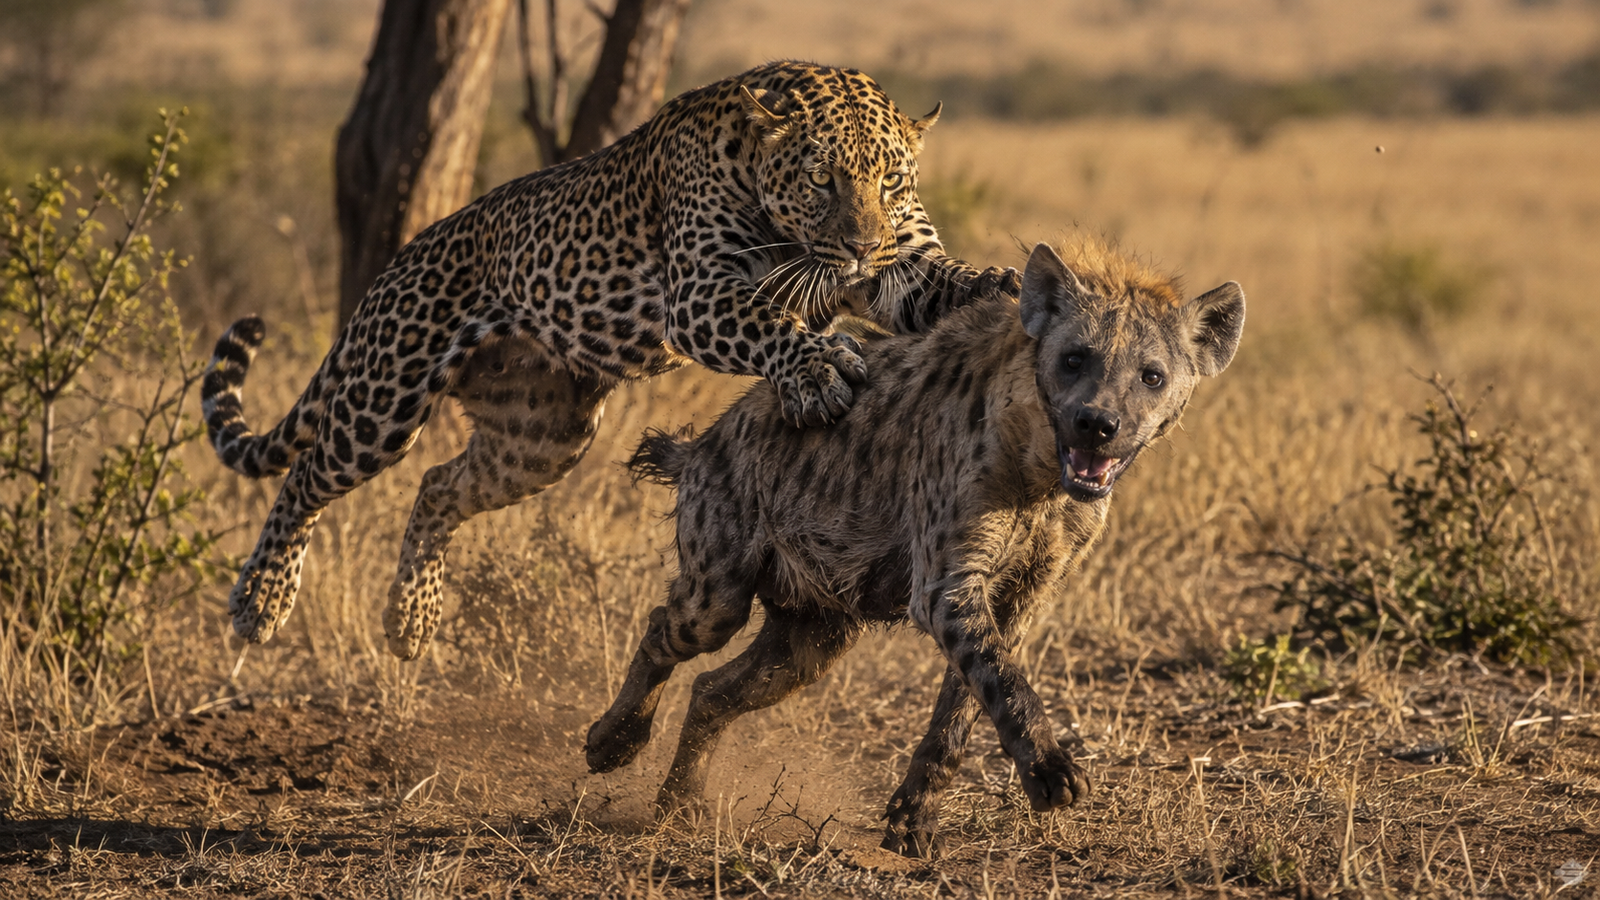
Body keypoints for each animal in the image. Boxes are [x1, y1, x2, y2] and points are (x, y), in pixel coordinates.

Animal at [200, 61, 1017, 661]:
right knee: (308, 478)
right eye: (822, 179)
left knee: (438, 486)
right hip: (384, 398)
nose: (860, 247)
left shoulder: (902, 260)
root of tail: (395, 264)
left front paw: (996, 285)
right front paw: (816, 373)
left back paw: (411, 622)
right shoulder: (699, 296)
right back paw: (259, 603)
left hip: (541, 439)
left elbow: (938, 281)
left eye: (892, 181)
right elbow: (768, 320)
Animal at [585, 236, 1246, 857]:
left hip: (814, 633)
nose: (1097, 423)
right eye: (1073, 359)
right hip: (720, 579)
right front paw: (1052, 772)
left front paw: (913, 819)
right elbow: (1001, 675)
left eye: (1152, 376)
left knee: (722, 686)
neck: (1041, 478)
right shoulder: (946, 583)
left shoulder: (1028, 591)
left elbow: (967, 698)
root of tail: (702, 444)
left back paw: (681, 803)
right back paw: (613, 742)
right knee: (671, 626)